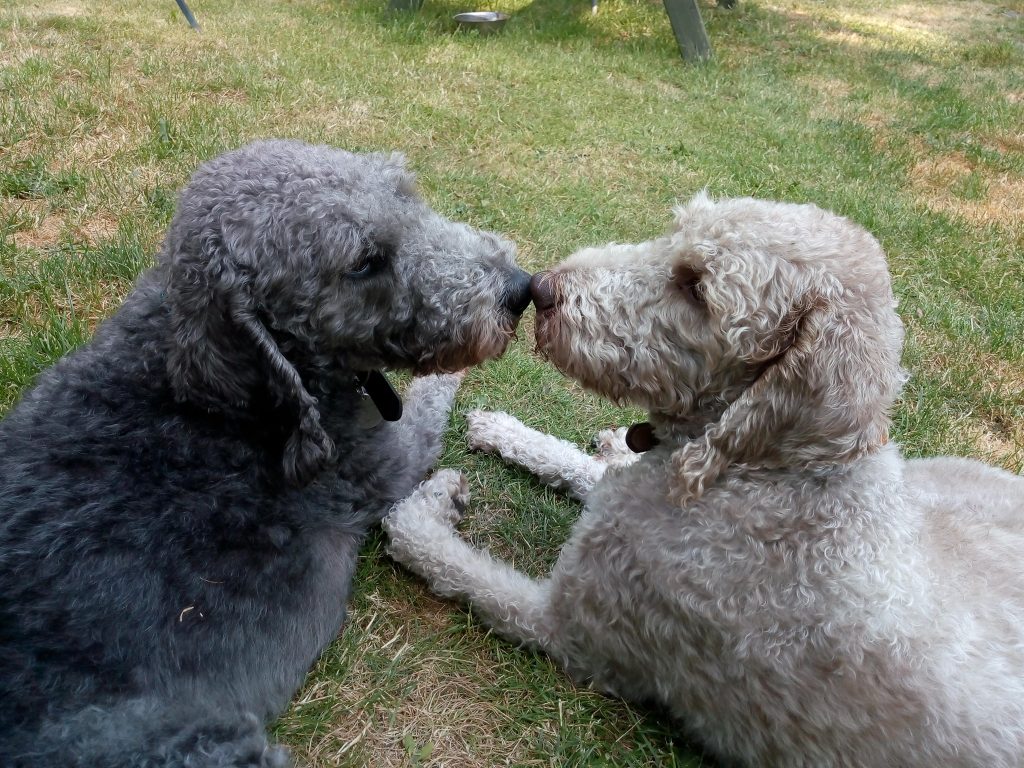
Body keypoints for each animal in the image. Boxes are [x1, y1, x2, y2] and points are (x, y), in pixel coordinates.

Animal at [0, 140, 528, 768]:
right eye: (363, 263)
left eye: (407, 194)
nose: (521, 289)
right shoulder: (380, 465)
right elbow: (431, 402)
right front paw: (449, 475)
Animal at [385, 193, 1024, 768]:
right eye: (676, 234)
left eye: (696, 287)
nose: (540, 288)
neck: (770, 477)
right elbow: (584, 469)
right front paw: (502, 430)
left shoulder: (572, 627)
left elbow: (448, 559)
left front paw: (426, 505)